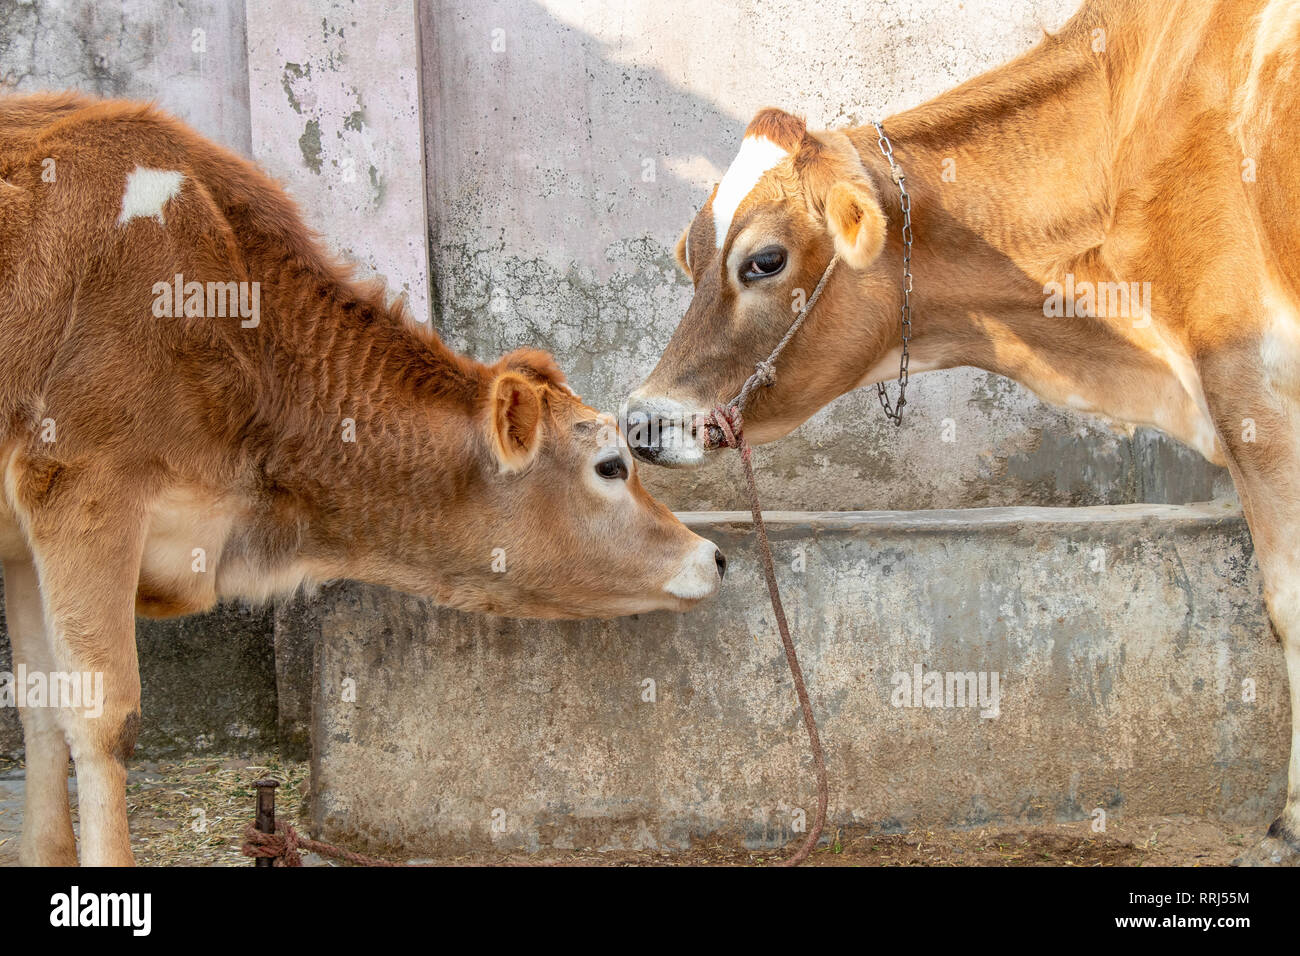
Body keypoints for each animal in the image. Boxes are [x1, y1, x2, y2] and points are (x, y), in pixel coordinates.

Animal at [0, 91, 728, 868]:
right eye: (611, 465)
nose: (714, 555)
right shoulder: (83, 487)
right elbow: (102, 717)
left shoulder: (24, 534)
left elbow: (39, 702)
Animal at [626, 0, 1300, 868]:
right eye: (693, 253)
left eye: (764, 261)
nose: (641, 420)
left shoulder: (1256, 394)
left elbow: (1287, 606)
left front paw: (1286, 824)